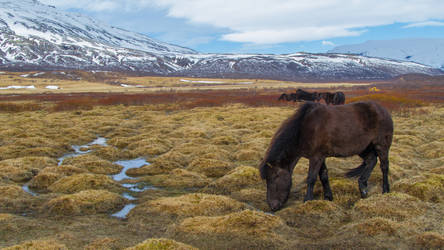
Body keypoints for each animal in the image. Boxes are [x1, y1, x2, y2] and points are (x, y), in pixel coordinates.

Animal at [258, 101, 394, 211]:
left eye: (274, 177)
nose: (272, 206)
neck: (304, 129)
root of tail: (383, 110)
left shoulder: (316, 157)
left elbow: (311, 178)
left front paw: (307, 200)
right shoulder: (320, 157)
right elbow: (323, 175)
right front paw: (328, 197)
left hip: (381, 145)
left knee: (384, 167)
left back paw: (385, 190)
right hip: (363, 148)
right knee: (371, 161)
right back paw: (363, 187)